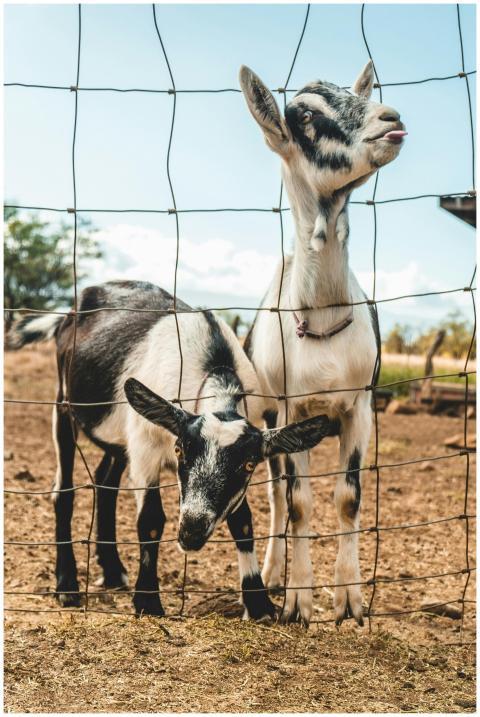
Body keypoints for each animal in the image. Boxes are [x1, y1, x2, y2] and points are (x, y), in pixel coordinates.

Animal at [8, 280, 337, 618]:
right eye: (181, 450)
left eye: (248, 465)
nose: (191, 530)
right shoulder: (145, 450)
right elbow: (151, 520)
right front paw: (148, 601)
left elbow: (242, 520)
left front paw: (258, 601)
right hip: (63, 405)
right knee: (64, 491)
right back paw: (67, 585)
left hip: (118, 436)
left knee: (106, 483)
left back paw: (112, 572)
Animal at [239, 61, 407, 626]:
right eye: (306, 114)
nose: (391, 119)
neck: (325, 318)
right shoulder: (294, 412)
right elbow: (298, 502)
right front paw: (298, 601)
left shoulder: (359, 407)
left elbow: (347, 498)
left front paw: (349, 601)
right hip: (265, 416)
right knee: (274, 494)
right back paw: (272, 573)